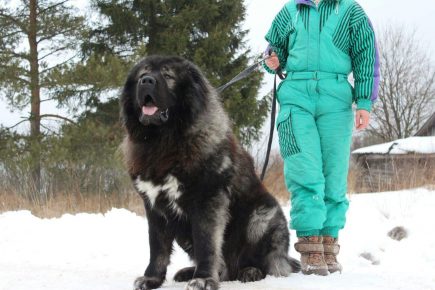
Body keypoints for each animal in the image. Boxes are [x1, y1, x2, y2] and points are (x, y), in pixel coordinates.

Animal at [121, 55, 302, 290]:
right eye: (142, 74)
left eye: (168, 76)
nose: (146, 81)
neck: (163, 141)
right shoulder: (155, 206)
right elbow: (157, 247)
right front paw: (152, 278)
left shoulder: (207, 201)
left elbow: (206, 245)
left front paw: (204, 279)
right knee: (225, 269)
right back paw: (188, 272)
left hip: (261, 217)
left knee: (268, 263)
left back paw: (250, 271)